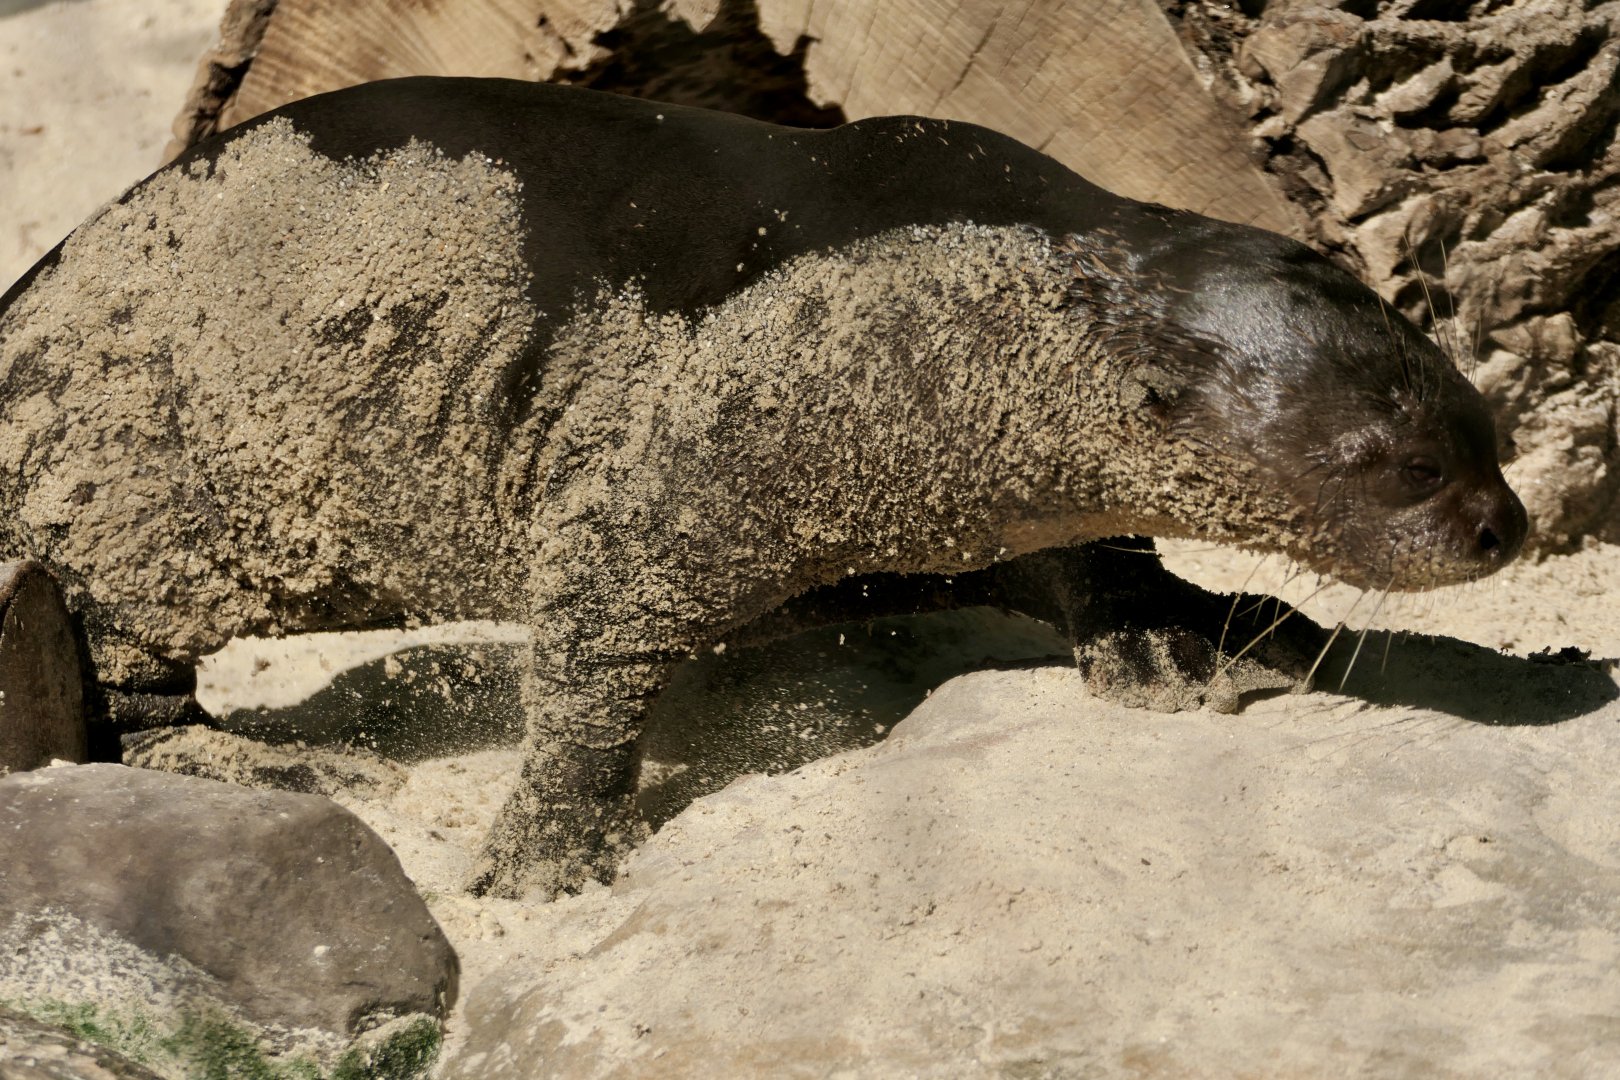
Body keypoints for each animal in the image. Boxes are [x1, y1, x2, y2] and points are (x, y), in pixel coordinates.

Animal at [0, 77, 1526, 899]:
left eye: (1489, 429)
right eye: (1407, 468)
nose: (1504, 526)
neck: (938, 321)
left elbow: (1096, 555)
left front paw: (1193, 638)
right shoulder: (668, 474)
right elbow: (589, 654)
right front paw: (545, 847)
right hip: (127, 514)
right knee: (128, 700)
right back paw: (285, 764)